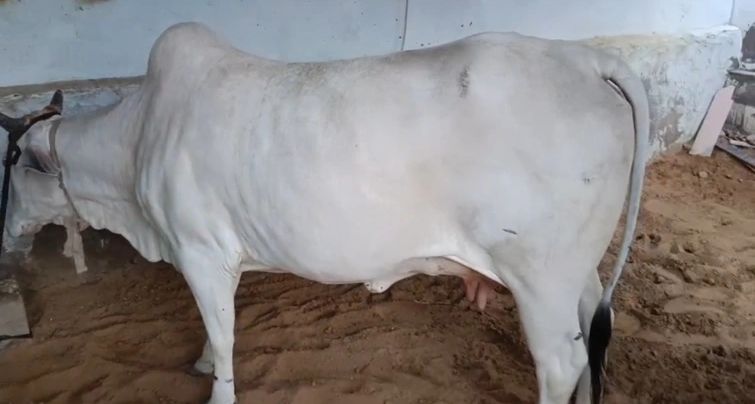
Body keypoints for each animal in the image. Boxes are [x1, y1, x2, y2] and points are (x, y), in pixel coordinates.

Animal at [1, 22, 648, 404]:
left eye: (12, 164)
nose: (8, 233)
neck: (138, 141)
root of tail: (587, 61)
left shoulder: (202, 251)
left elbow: (224, 335)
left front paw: (217, 381)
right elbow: (215, 330)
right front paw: (204, 359)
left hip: (540, 277)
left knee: (561, 362)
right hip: (574, 273)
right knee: (593, 332)